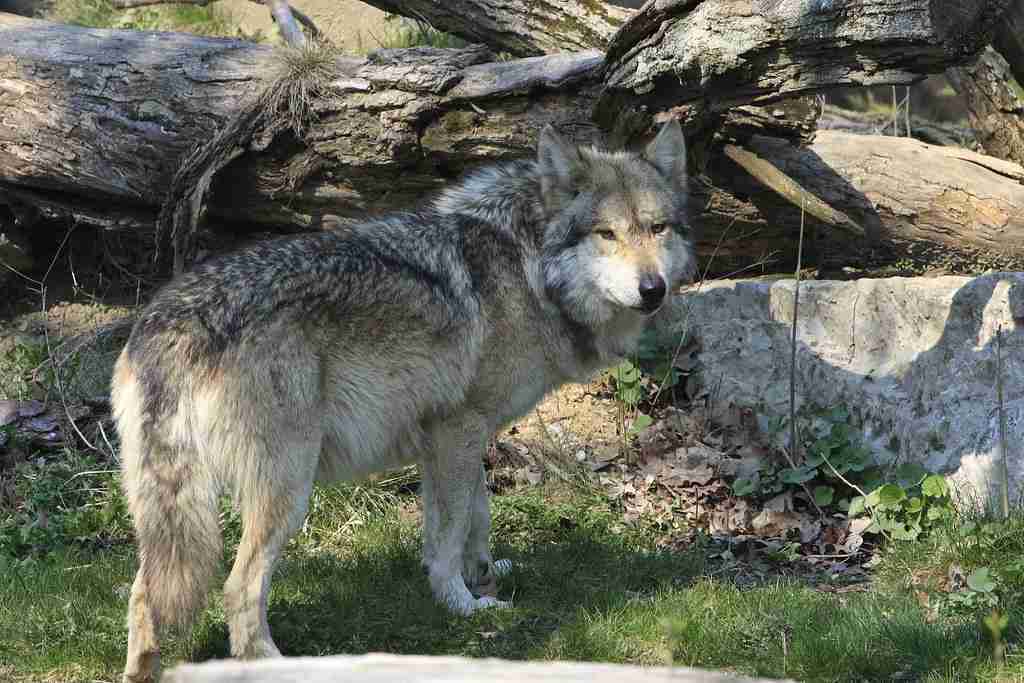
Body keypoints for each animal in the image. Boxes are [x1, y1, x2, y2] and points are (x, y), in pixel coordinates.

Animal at [114, 120, 696, 679]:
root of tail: (168, 324)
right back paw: (274, 663)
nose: (653, 289)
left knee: (144, 591)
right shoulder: (457, 428)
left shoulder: (453, 438)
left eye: (657, 228)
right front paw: (462, 604)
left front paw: (483, 575)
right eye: (606, 233)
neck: (527, 266)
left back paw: (144, 671)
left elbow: (472, 516)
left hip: (172, 514)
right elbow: (452, 529)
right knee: (238, 587)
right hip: (287, 489)